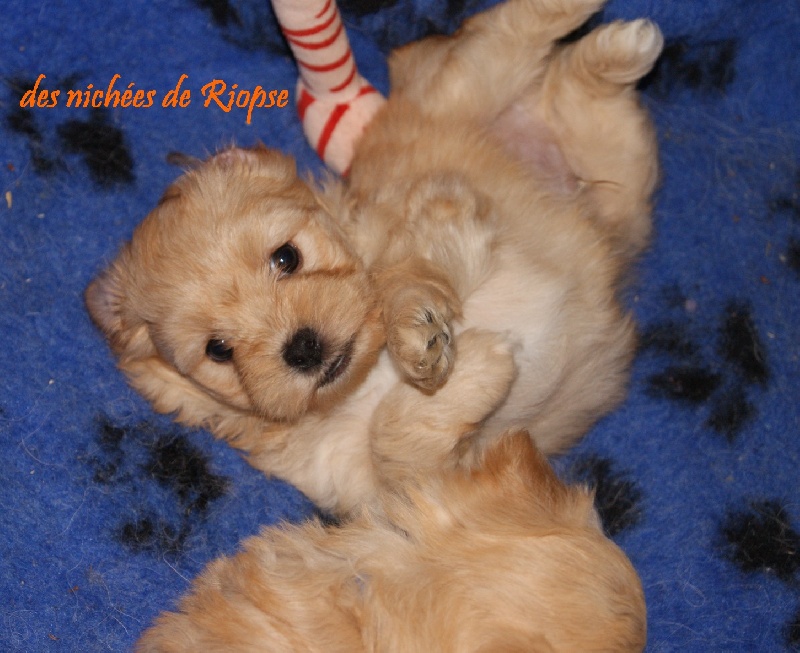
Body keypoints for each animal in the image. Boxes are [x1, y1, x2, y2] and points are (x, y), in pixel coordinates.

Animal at [86, 0, 663, 515]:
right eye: (218, 350)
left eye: (287, 258)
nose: (302, 348)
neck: (363, 384)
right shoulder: (390, 488)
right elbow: (393, 441)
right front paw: (482, 358)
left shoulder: (444, 210)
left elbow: (403, 272)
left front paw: (417, 331)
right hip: (615, 163)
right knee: (576, 84)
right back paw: (618, 51)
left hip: (459, 93)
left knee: (499, 38)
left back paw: (617, 32)